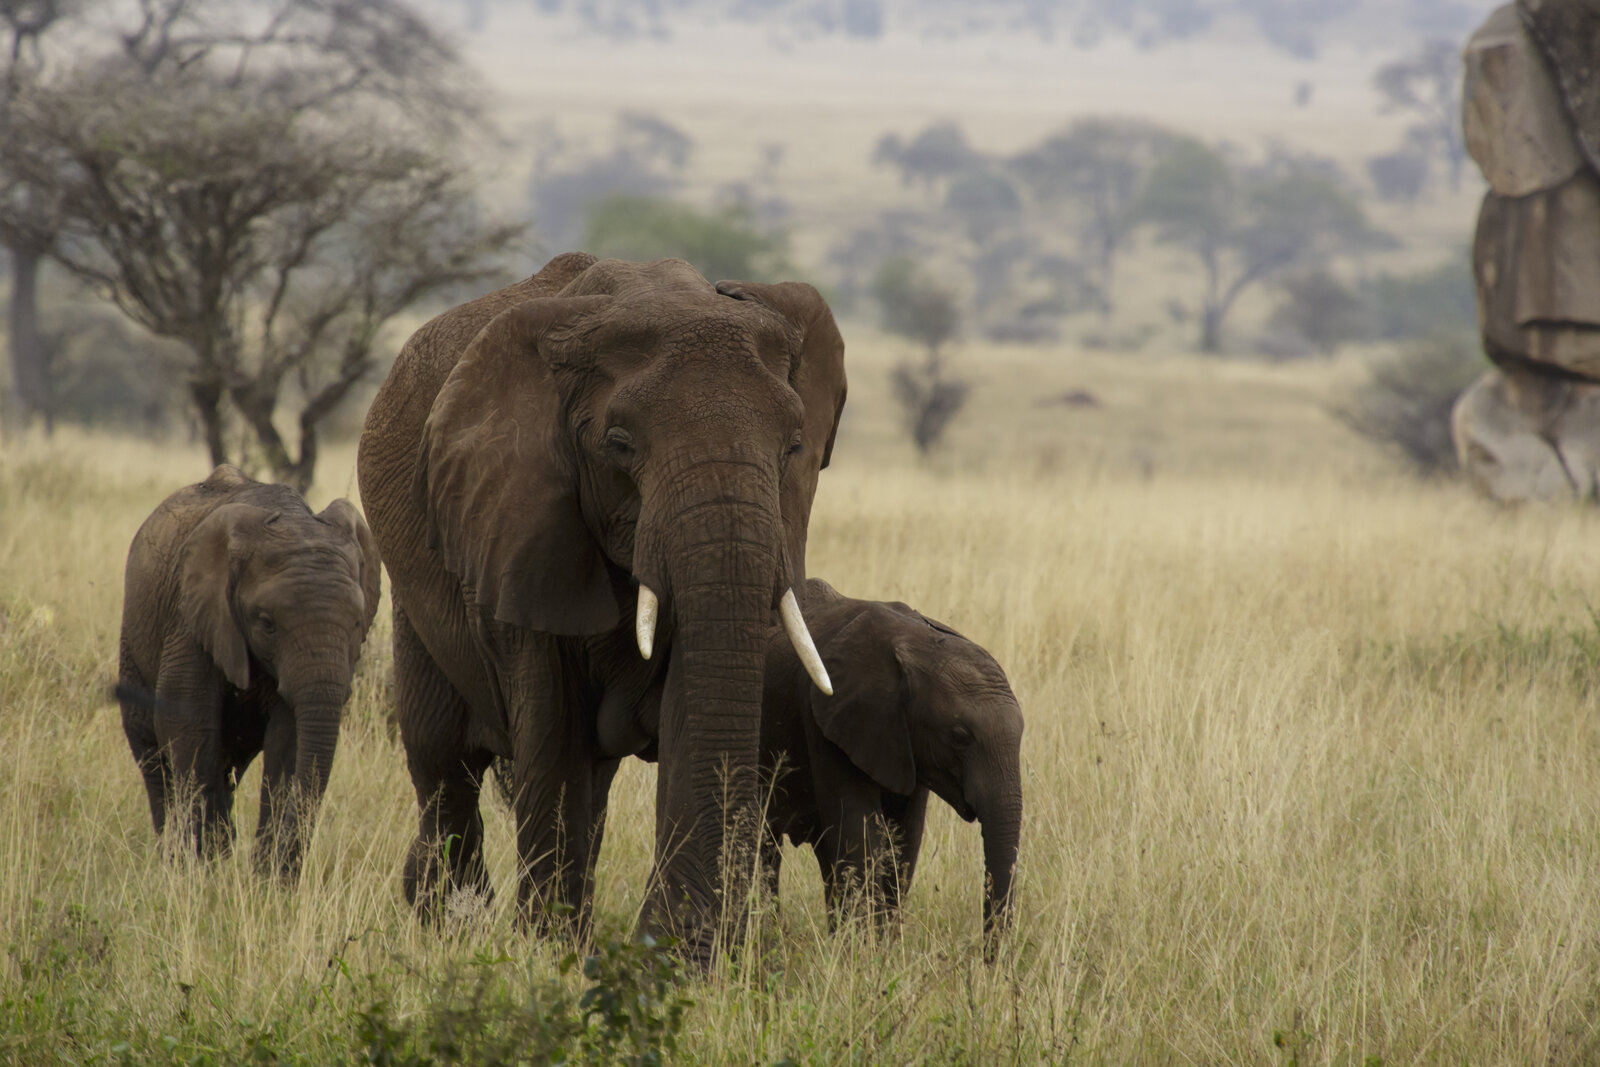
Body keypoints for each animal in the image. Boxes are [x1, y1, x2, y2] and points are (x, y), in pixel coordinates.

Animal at [116, 464, 381, 879]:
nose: (282, 875)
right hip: (134, 641)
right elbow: (189, 725)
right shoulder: (191, 619)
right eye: (267, 624)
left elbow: (288, 741)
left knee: (227, 763)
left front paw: (263, 882)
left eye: (357, 623)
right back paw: (178, 859)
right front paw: (198, 873)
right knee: (154, 755)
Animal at [355, 253, 847, 961]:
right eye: (618, 444)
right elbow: (553, 736)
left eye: (793, 449)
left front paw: (674, 952)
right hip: (416, 584)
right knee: (444, 762)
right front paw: (549, 954)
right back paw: (450, 921)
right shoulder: (517, 520)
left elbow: (689, 706)